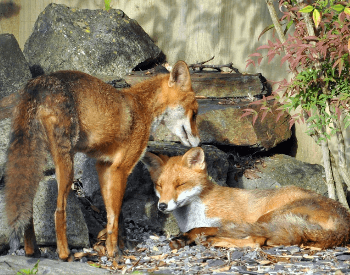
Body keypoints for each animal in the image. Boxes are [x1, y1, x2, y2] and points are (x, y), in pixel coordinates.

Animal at [4, 60, 200, 260]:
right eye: (194, 113)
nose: (198, 142)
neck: (142, 108)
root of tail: (38, 82)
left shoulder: (104, 166)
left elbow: (113, 215)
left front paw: (120, 245)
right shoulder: (121, 168)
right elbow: (115, 215)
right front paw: (114, 252)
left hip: (37, 161)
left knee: (28, 208)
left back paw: (32, 250)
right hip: (66, 165)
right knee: (58, 212)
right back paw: (65, 254)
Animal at [142, 149, 350, 250]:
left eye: (180, 185)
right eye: (159, 185)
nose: (162, 206)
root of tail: (344, 221)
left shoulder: (231, 220)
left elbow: (201, 229)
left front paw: (190, 237)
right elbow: (199, 229)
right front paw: (185, 238)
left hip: (266, 217)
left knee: (256, 241)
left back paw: (215, 241)